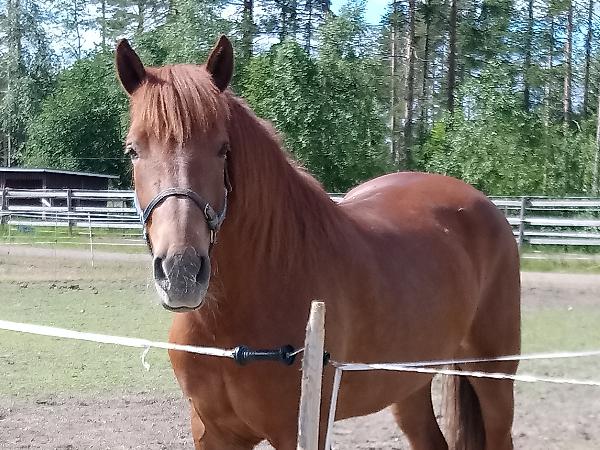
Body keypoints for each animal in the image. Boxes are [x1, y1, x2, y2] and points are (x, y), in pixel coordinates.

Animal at [115, 35, 520, 450]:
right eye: (133, 150)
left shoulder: (299, 431)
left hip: (495, 381)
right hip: (407, 386)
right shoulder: (211, 432)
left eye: (222, 149)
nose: (181, 272)